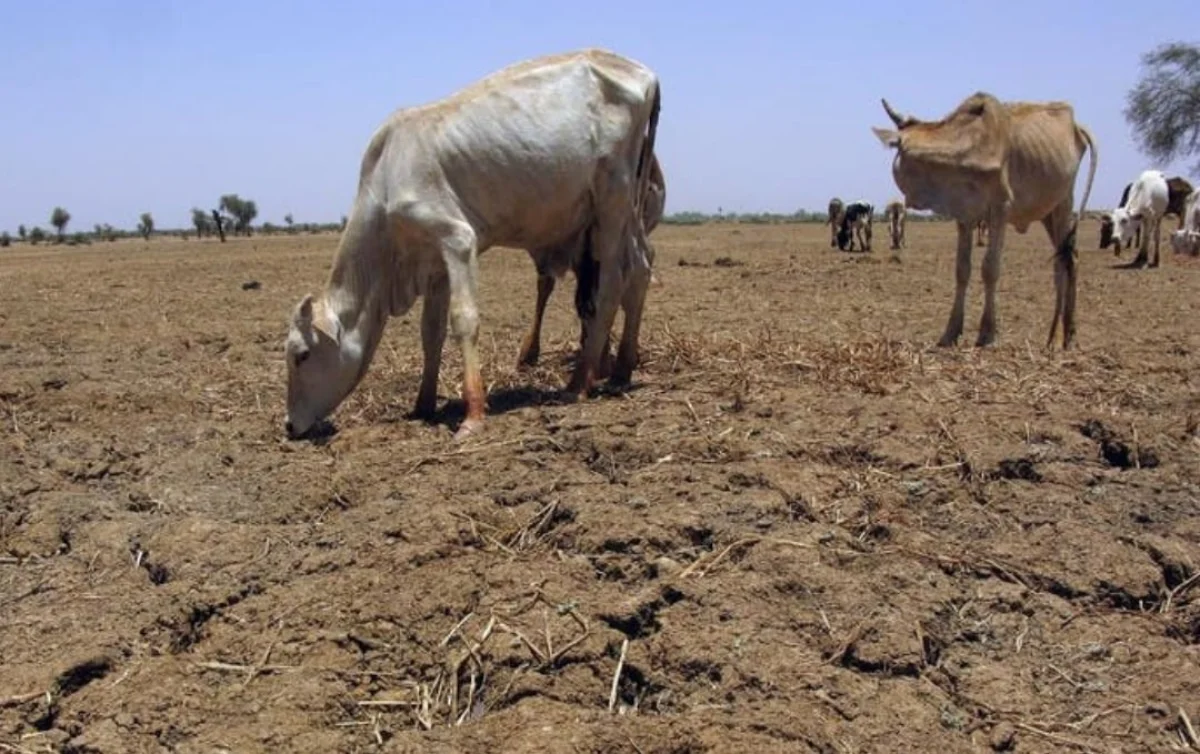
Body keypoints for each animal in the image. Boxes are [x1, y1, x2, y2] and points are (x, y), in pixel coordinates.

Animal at [284, 48, 662, 441]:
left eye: (301, 354)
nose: (290, 425)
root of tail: (641, 72)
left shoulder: (457, 239)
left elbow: (464, 320)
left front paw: (473, 415)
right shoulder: (434, 264)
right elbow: (431, 332)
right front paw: (423, 405)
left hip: (612, 200)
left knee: (611, 284)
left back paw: (580, 381)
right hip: (622, 212)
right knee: (640, 267)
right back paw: (621, 372)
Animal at [873, 91, 1099, 348]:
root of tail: (1076, 126)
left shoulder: (1000, 210)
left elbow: (990, 268)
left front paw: (987, 332)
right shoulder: (965, 215)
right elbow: (962, 269)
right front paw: (951, 332)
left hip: (1063, 202)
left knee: (1065, 259)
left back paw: (1061, 336)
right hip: (1047, 214)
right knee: (1067, 258)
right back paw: (1064, 332)